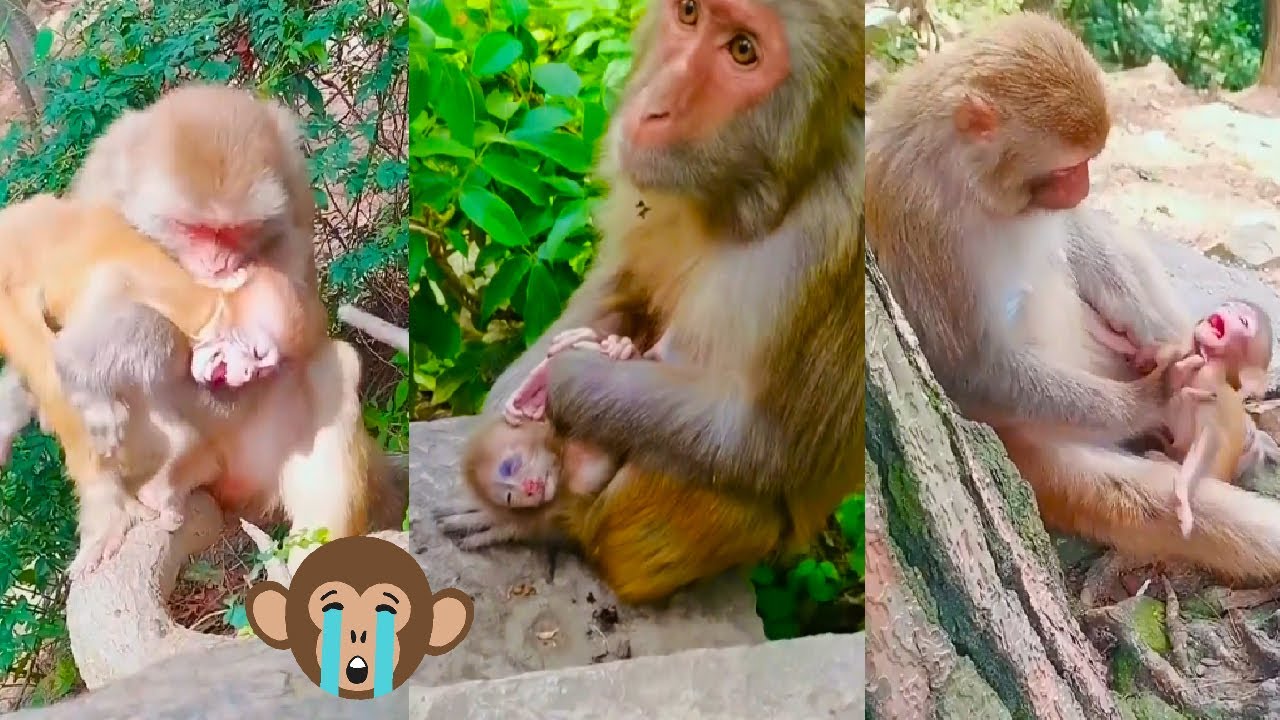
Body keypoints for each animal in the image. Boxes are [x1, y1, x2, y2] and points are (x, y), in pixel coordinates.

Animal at [436, 0, 864, 605]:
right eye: (688, 13)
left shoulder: (826, 236)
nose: (655, 104)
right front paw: (515, 397)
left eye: (743, 50)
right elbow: (622, 284)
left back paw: (557, 528)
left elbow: (761, 442)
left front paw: (560, 381)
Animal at [866, 11, 1280, 587]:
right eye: (1067, 168)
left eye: (1088, 164)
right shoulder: (920, 219)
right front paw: (1150, 396)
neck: (963, 174)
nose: (1083, 188)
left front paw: (1164, 337)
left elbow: (1076, 236)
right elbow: (968, 367)